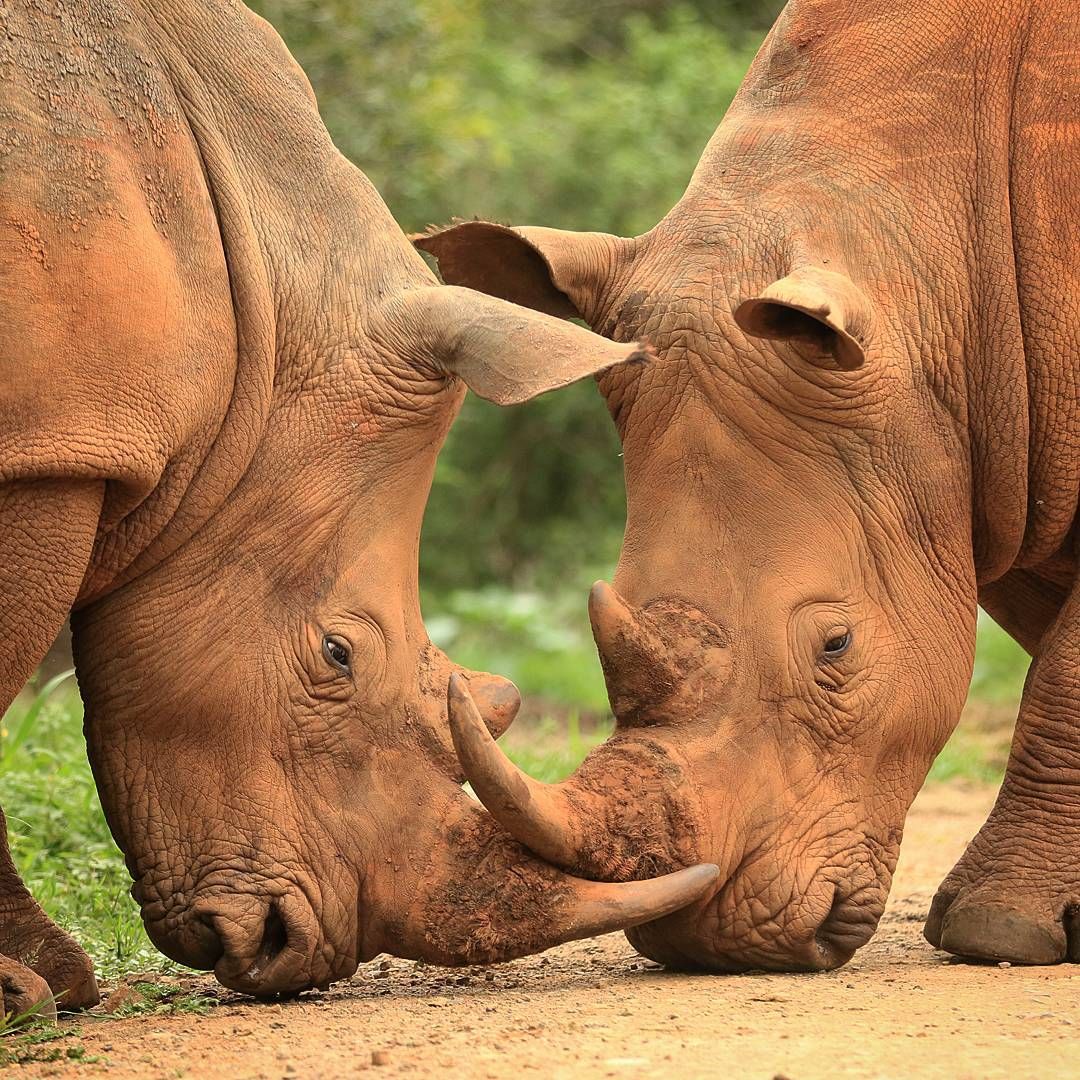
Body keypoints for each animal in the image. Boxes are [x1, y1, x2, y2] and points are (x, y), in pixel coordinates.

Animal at [0, 0, 720, 1015]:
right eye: (337, 654)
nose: (290, 947)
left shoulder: (62, 431)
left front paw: (49, 985)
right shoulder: (51, 448)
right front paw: (22, 994)